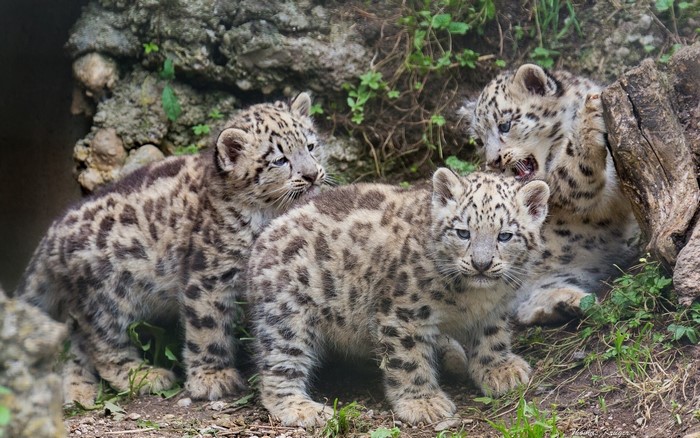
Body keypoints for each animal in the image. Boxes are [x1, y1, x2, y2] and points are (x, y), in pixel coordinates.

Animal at [14, 92, 328, 406]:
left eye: (311, 146)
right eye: (279, 160)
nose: (312, 174)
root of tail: (52, 234)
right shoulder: (208, 276)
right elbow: (207, 327)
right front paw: (212, 378)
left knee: (74, 347)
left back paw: (80, 391)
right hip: (106, 300)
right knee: (104, 346)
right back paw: (145, 375)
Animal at [246, 169, 550, 427]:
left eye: (505, 236)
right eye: (463, 232)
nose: (481, 264)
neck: (475, 296)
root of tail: (263, 238)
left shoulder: (495, 308)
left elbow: (492, 336)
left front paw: (500, 370)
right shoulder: (404, 314)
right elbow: (408, 359)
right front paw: (423, 403)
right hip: (288, 314)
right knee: (278, 367)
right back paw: (303, 408)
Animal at [461, 63, 640, 326]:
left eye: (505, 124)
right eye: (480, 141)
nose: (493, 162)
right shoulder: (567, 188)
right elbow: (573, 167)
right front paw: (588, 117)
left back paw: (565, 304)